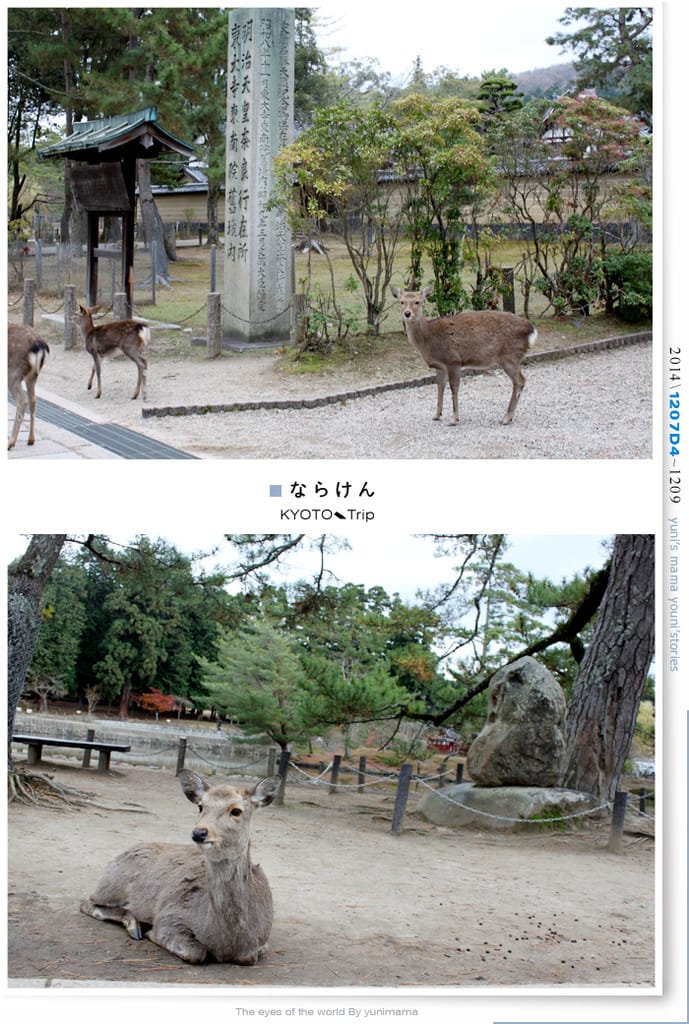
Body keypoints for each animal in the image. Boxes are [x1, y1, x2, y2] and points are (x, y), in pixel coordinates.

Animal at [80, 771, 280, 965]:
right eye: (200, 806)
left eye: (236, 811)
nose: (199, 832)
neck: (229, 940)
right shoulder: (169, 917)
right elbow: (196, 952)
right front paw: (150, 933)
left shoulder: (261, 945)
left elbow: (249, 958)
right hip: (111, 886)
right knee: (86, 902)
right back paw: (134, 926)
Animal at [391, 284, 538, 425]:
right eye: (401, 301)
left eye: (417, 302)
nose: (407, 313)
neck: (428, 340)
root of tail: (531, 329)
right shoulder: (440, 365)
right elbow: (440, 386)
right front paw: (437, 415)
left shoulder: (453, 360)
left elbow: (454, 387)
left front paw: (454, 419)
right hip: (514, 357)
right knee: (521, 380)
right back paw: (509, 417)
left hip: (509, 356)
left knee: (519, 381)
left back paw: (506, 418)